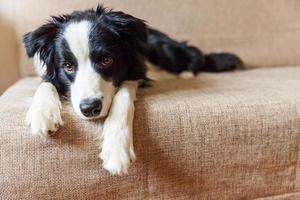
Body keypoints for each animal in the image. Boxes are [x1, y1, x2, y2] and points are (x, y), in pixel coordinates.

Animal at [24, 5, 244, 176]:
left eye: (107, 60)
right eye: (68, 66)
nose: (90, 108)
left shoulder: (136, 72)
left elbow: (123, 96)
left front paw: (116, 150)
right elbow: (46, 84)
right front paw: (42, 113)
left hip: (166, 51)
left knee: (194, 54)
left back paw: (185, 73)